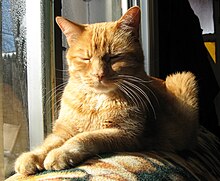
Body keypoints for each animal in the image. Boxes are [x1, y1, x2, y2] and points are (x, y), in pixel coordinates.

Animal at [14, 6, 199, 175]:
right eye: (86, 58)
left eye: (114, 57)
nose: (99, 74)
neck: (97, 101)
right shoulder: (64, 129)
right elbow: (49, 142)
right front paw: (31, 156)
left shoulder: (127, 134)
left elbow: (85, 137)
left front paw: (61, 153)